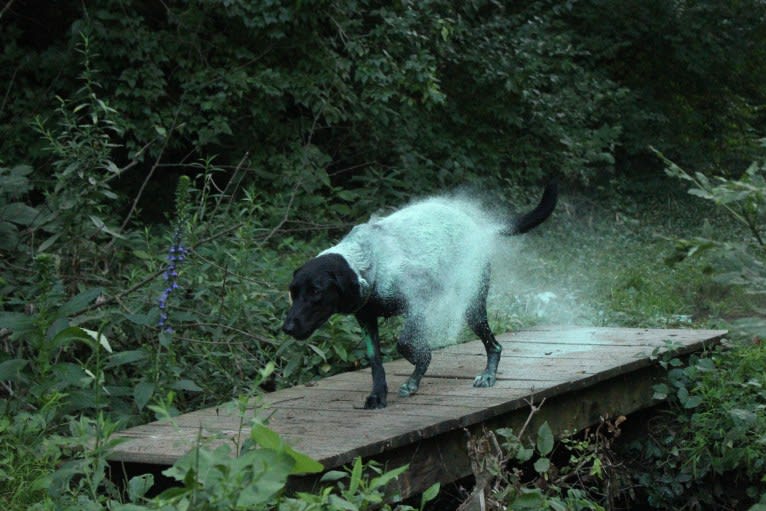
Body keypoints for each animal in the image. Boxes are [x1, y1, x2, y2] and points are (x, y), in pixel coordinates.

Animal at [282, 182, 560, 410]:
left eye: (316, 291)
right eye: (293, 292)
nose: (287, 328)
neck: (369, 263)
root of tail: (477, 227)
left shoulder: (418, 304)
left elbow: (408, 345)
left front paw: (414, 378)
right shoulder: (367, 319)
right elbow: (376, 362)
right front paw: (378, 395)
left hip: (472, 306)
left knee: (494, 345)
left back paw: (488, 375)